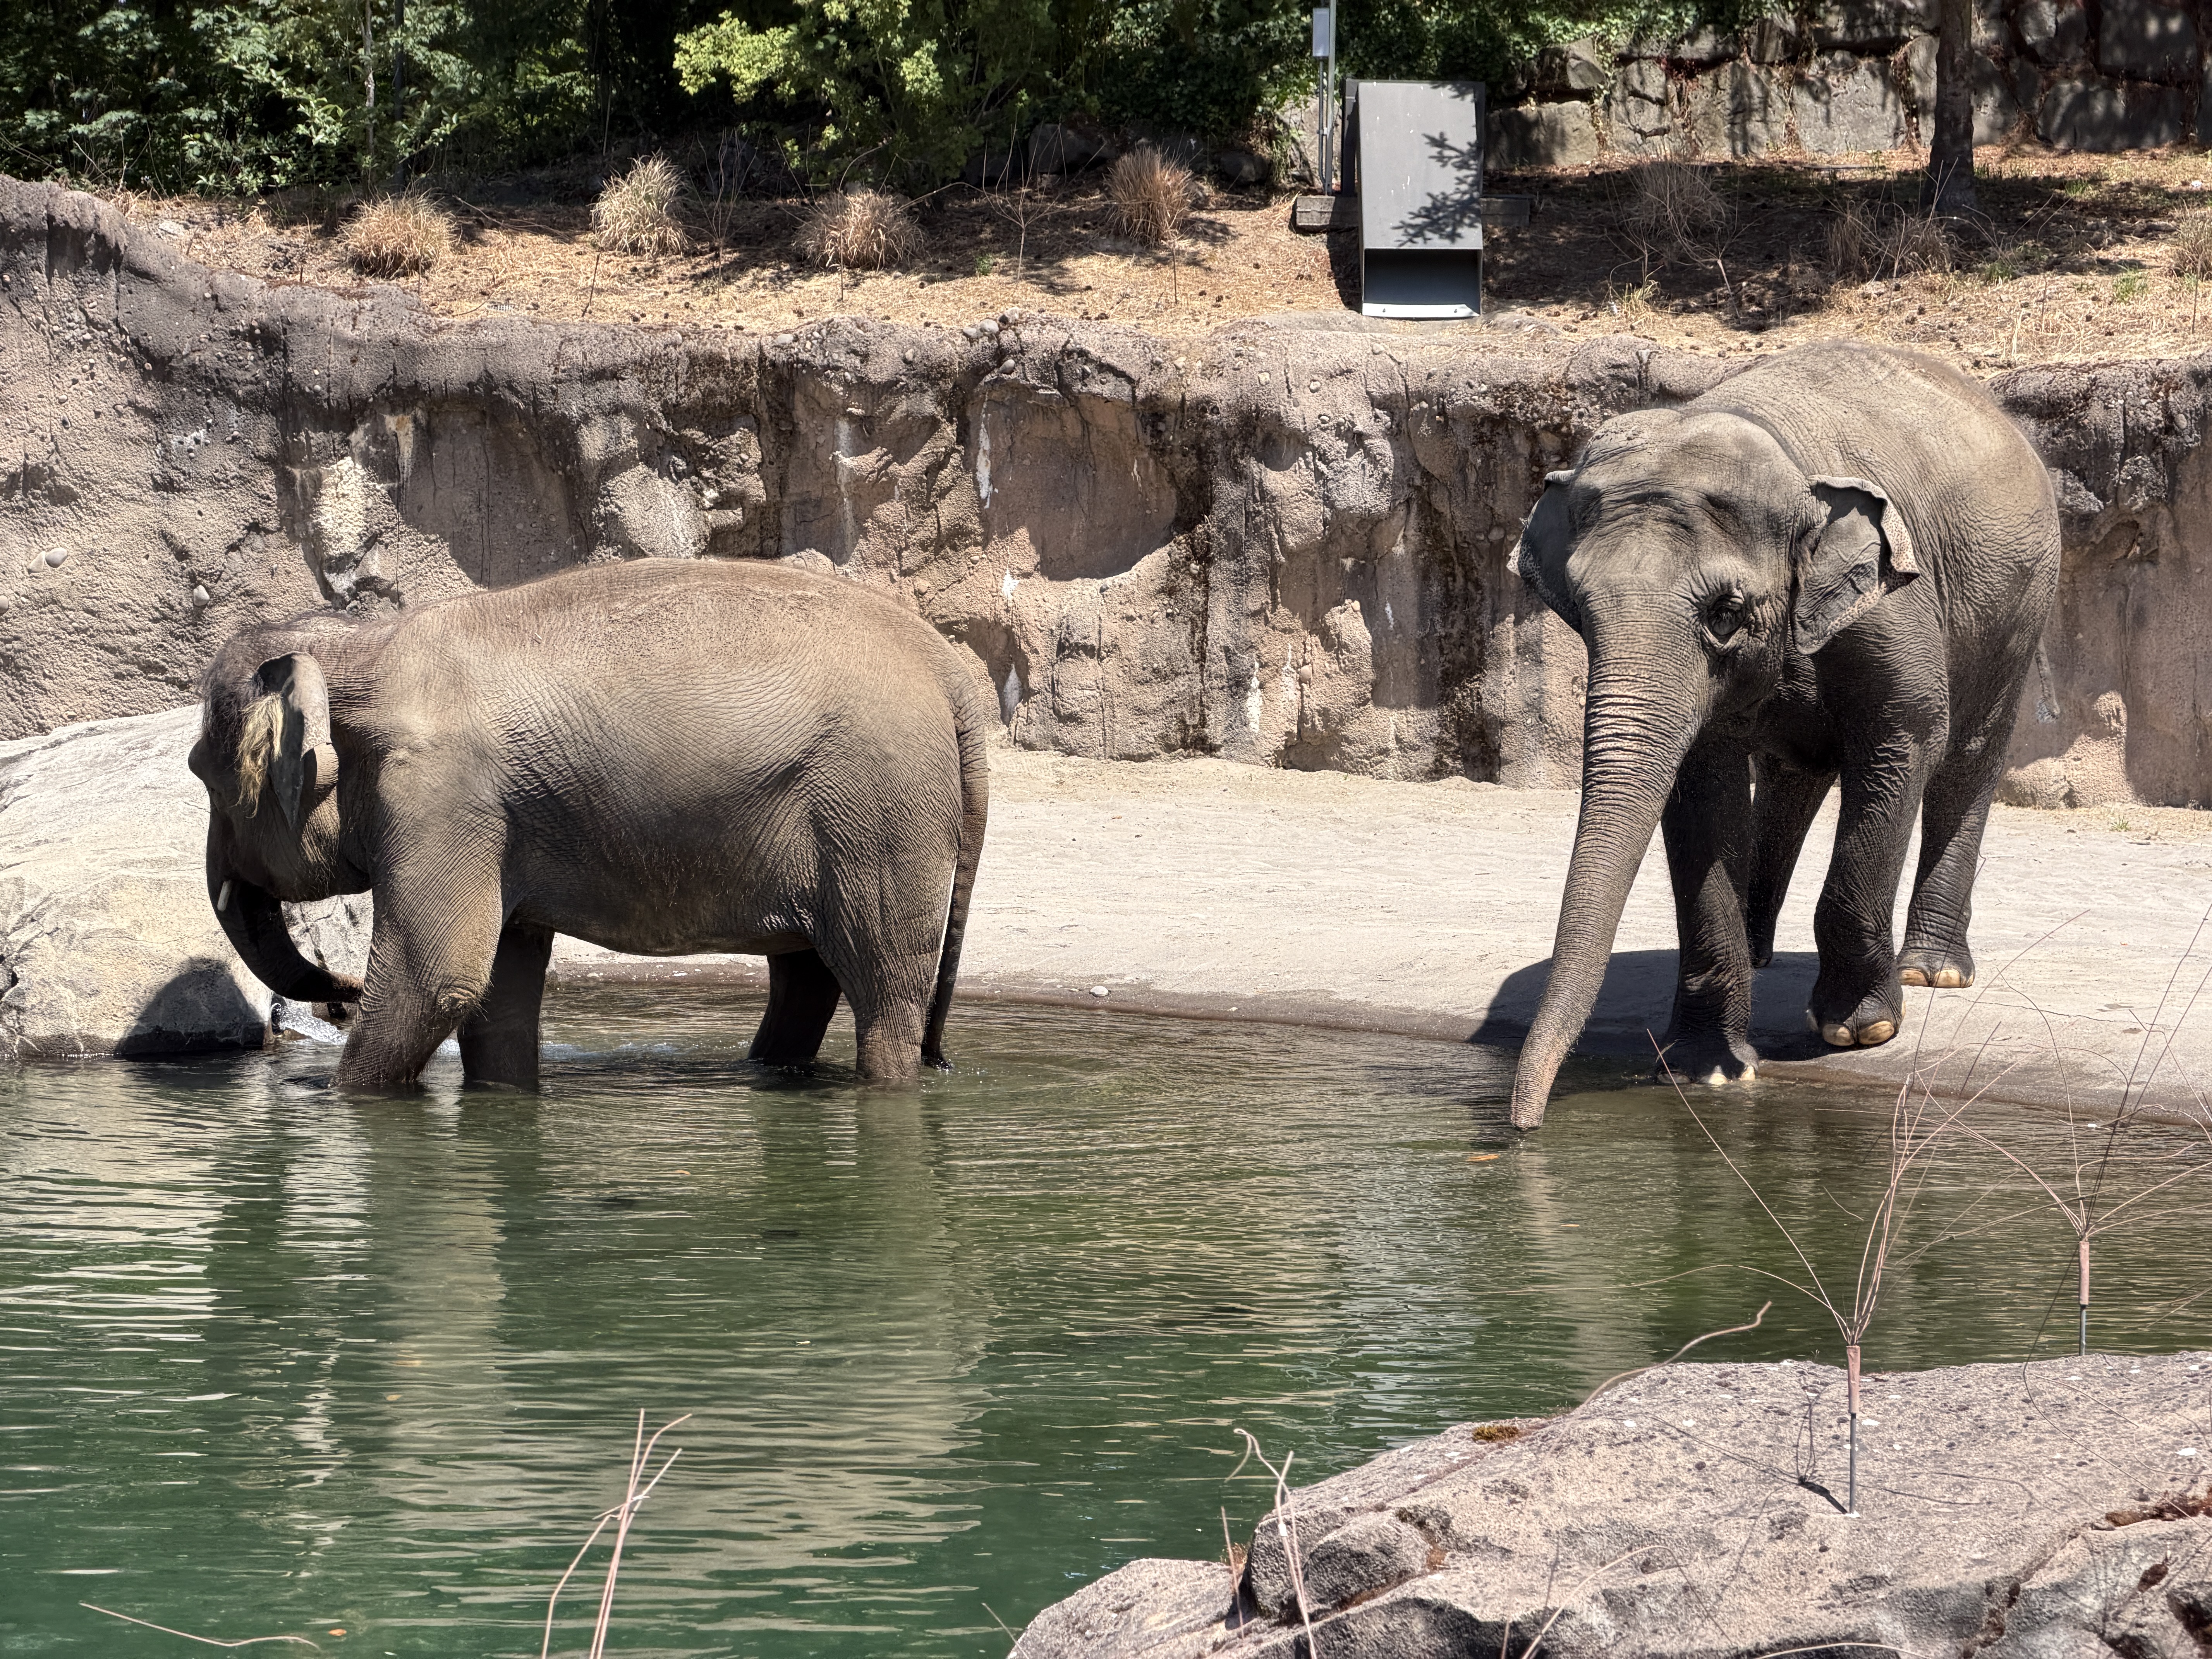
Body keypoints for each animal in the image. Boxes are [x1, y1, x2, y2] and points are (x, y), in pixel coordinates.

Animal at [190, 559, 991, 1090]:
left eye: (204, 775)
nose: (341, 991)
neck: (368, 644)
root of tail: (949, 669)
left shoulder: (442, 799)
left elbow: (436, 978)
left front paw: (339, 1101)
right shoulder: (491, 817)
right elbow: (499, 987)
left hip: (881, 812)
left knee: (881, 984)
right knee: (806, 973)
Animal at [1506, 341, 2060, 1129]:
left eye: (1725, 612)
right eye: (1579, 610)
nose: (1525, 1126)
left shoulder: (1894, 608)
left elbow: (1904, 742)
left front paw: (1861, 1030)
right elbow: (1702, 785)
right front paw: (1705, 1068)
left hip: (2021, 600)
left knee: (1969, 757)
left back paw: (1932, 971)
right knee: (1791, 773)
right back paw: (1761, 947)